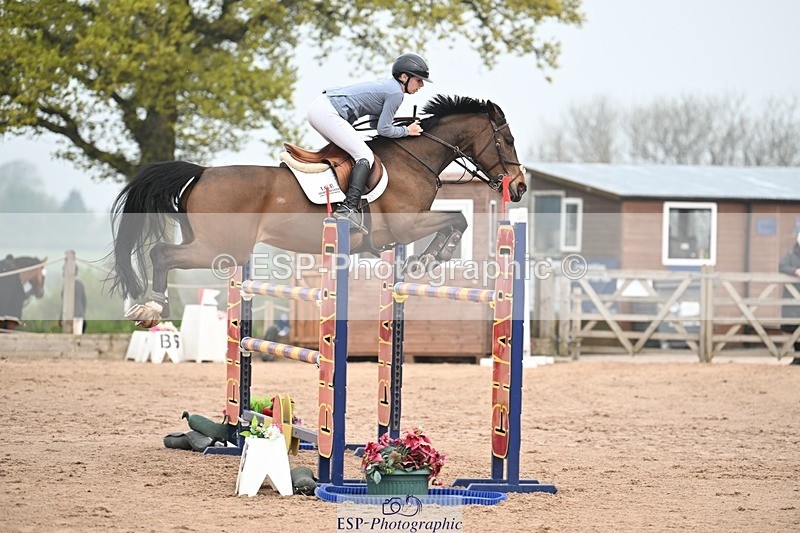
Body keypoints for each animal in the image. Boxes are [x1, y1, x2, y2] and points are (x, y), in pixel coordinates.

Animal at [110, 95, 527, 328]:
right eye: (507, 139)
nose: (520, 187)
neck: (414, 158)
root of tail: (202, 173)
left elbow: (455, 219)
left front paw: (422, 262)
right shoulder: (406, 226)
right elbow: (458, 219)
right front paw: (428, 260)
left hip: (214, 245)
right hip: (221, 249)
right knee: (161, 254)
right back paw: (153, 307)